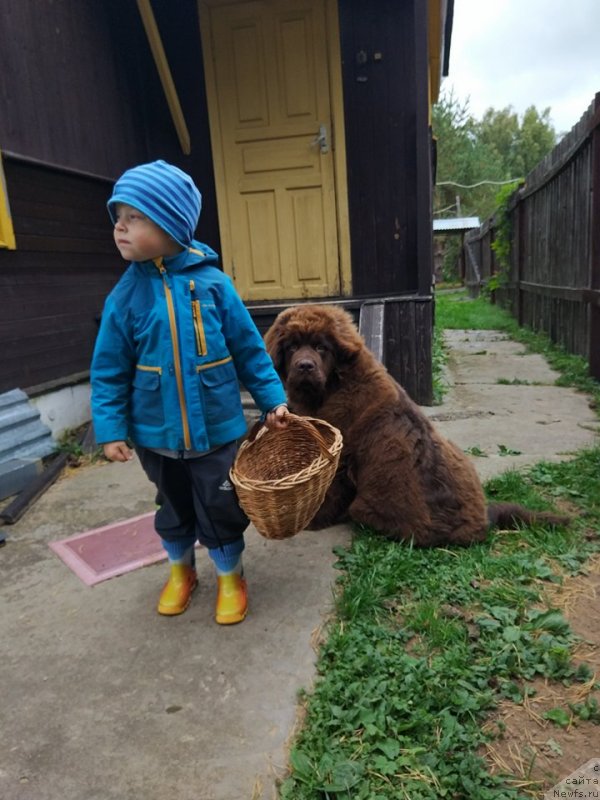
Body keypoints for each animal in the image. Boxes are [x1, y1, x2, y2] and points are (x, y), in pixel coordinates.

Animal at [266, 304, 568, 548]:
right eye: (292, 347)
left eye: (321, 348)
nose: (305, 366)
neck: (334, 385)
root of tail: (482, 524)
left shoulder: (338, 456)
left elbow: (331, 491)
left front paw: (314, 521)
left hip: (366, 508)